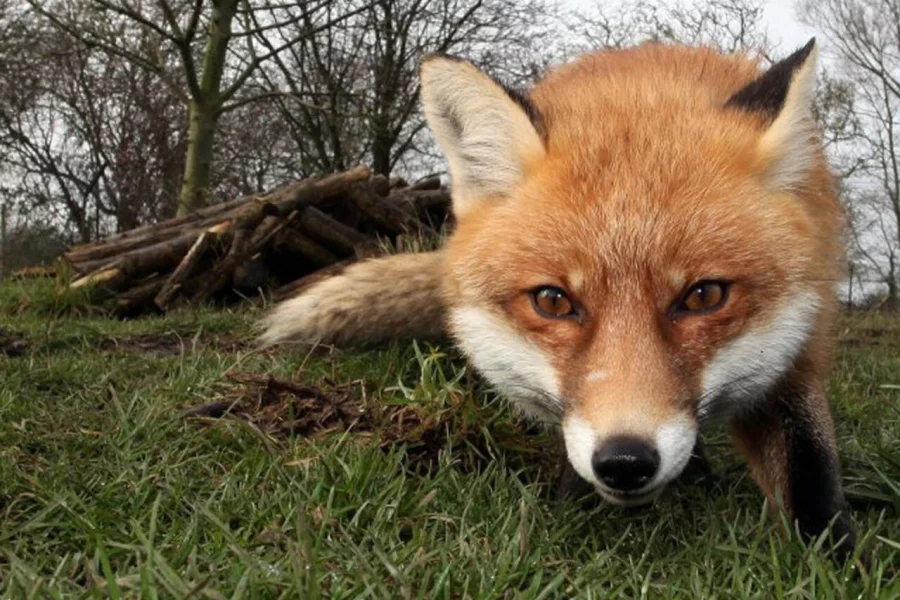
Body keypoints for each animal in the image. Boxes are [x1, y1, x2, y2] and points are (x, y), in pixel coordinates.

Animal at [260, 39, 856, 556]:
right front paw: (576, 504)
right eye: (552, 301)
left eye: (704, 295)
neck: (642, 87)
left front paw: (832, 561)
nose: (624, 461)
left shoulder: (798, 349)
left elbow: (810, 474)